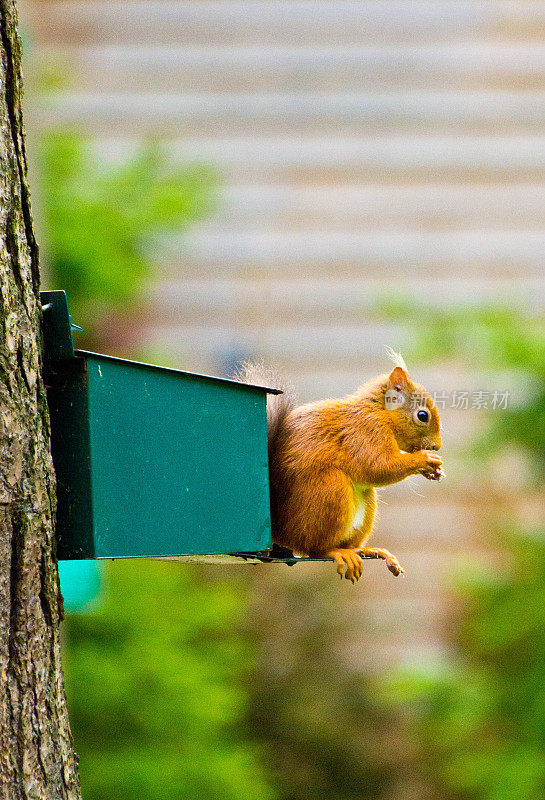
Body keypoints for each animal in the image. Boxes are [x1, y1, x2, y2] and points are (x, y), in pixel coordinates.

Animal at [241, 354, 442, 584]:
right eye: (422, 415)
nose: (437, 446)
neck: (379, 413)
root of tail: (280, 532)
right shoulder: (366, 432)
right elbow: (378, 466)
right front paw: (424, 459)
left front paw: (433, 470)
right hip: (331, 489)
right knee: (314, 549)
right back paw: (336, 552)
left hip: (365, 504)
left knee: (351, 544)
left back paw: (371, 551)